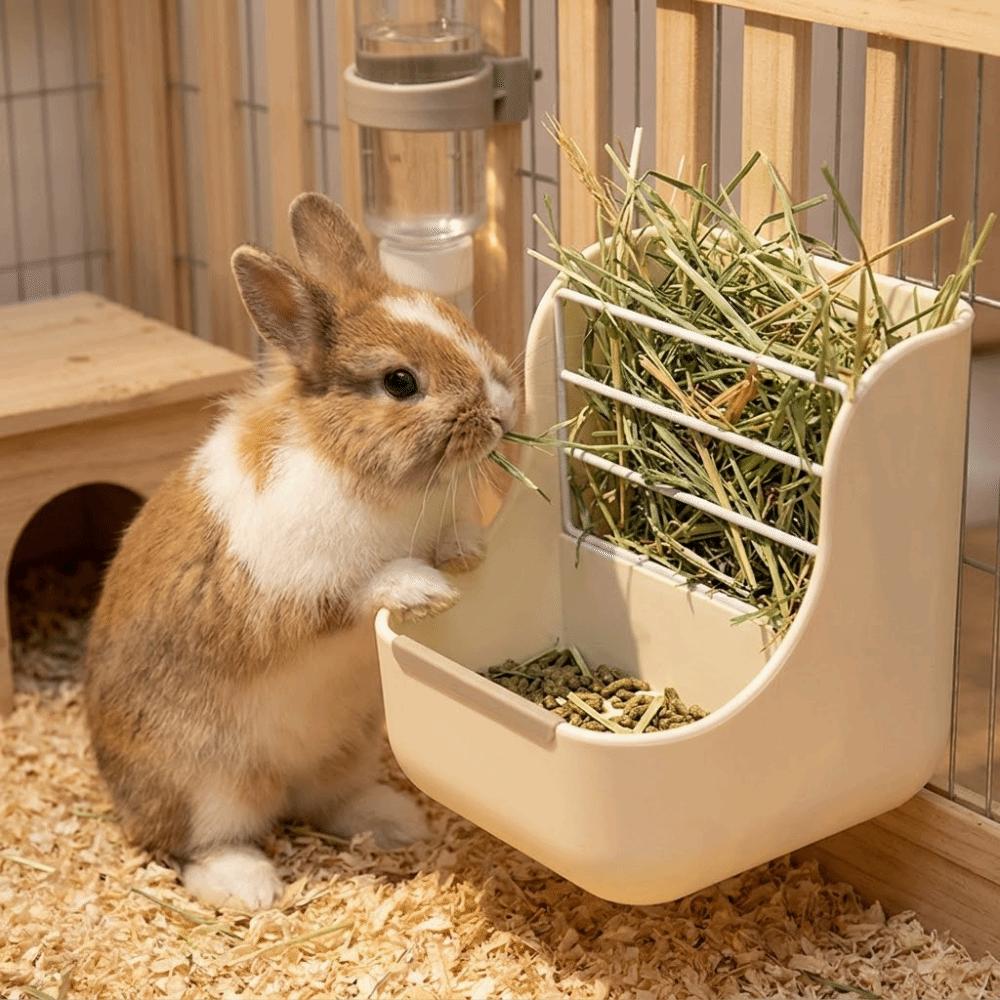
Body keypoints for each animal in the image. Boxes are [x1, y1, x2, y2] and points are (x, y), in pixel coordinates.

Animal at [83, 192, 518, 911]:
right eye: (401, 382)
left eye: (456, 318)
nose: (505, 410)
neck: (362, 470)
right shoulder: (293, 585)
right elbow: (359, 591)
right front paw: (425, 591)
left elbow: (459, 535)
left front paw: (464, 558)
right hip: (207, 784)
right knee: (198, 843)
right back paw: (249, 887)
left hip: (347, 746)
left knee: (324, 803)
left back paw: (397, 821)